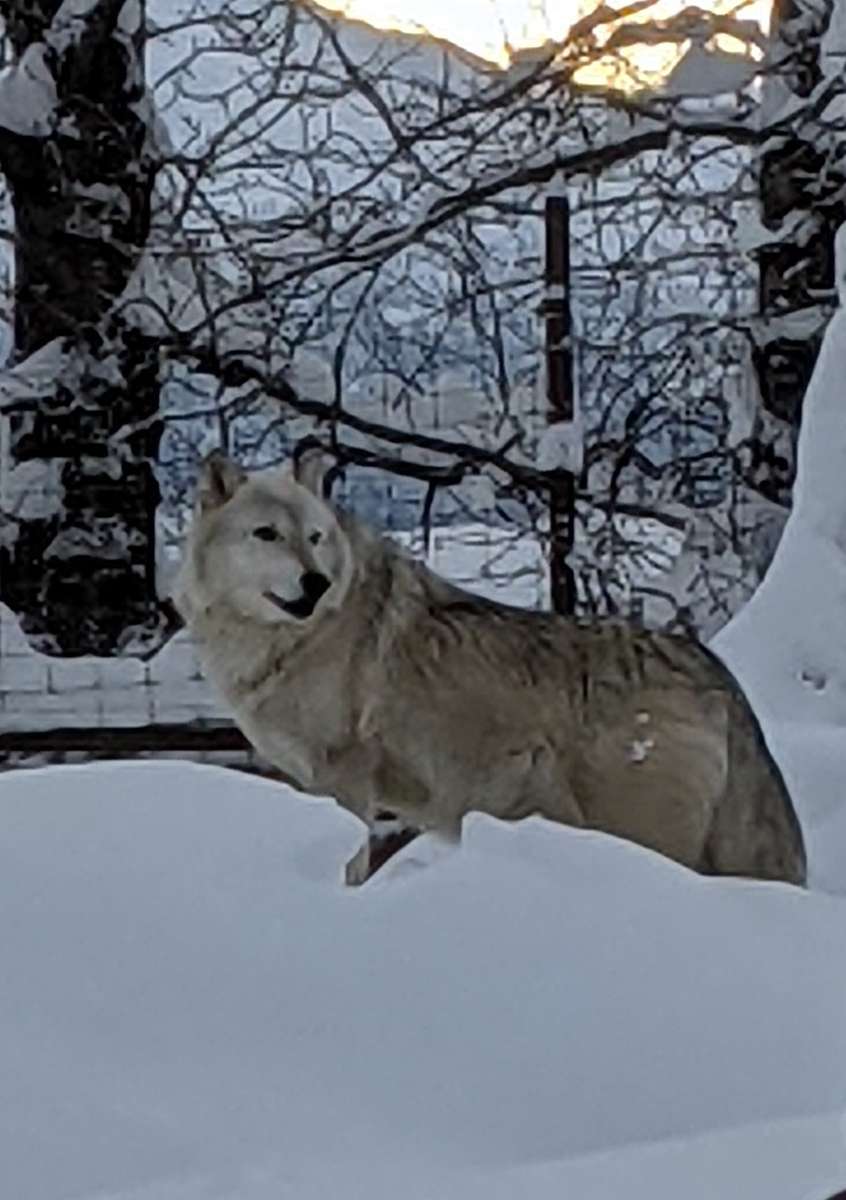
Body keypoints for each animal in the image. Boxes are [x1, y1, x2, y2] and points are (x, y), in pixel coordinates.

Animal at [171, 446, 806, 888]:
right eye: (267, 534)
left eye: (315, 536)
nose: (317, 582)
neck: (294, 639)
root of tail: (714, 669)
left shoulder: (346, 782)